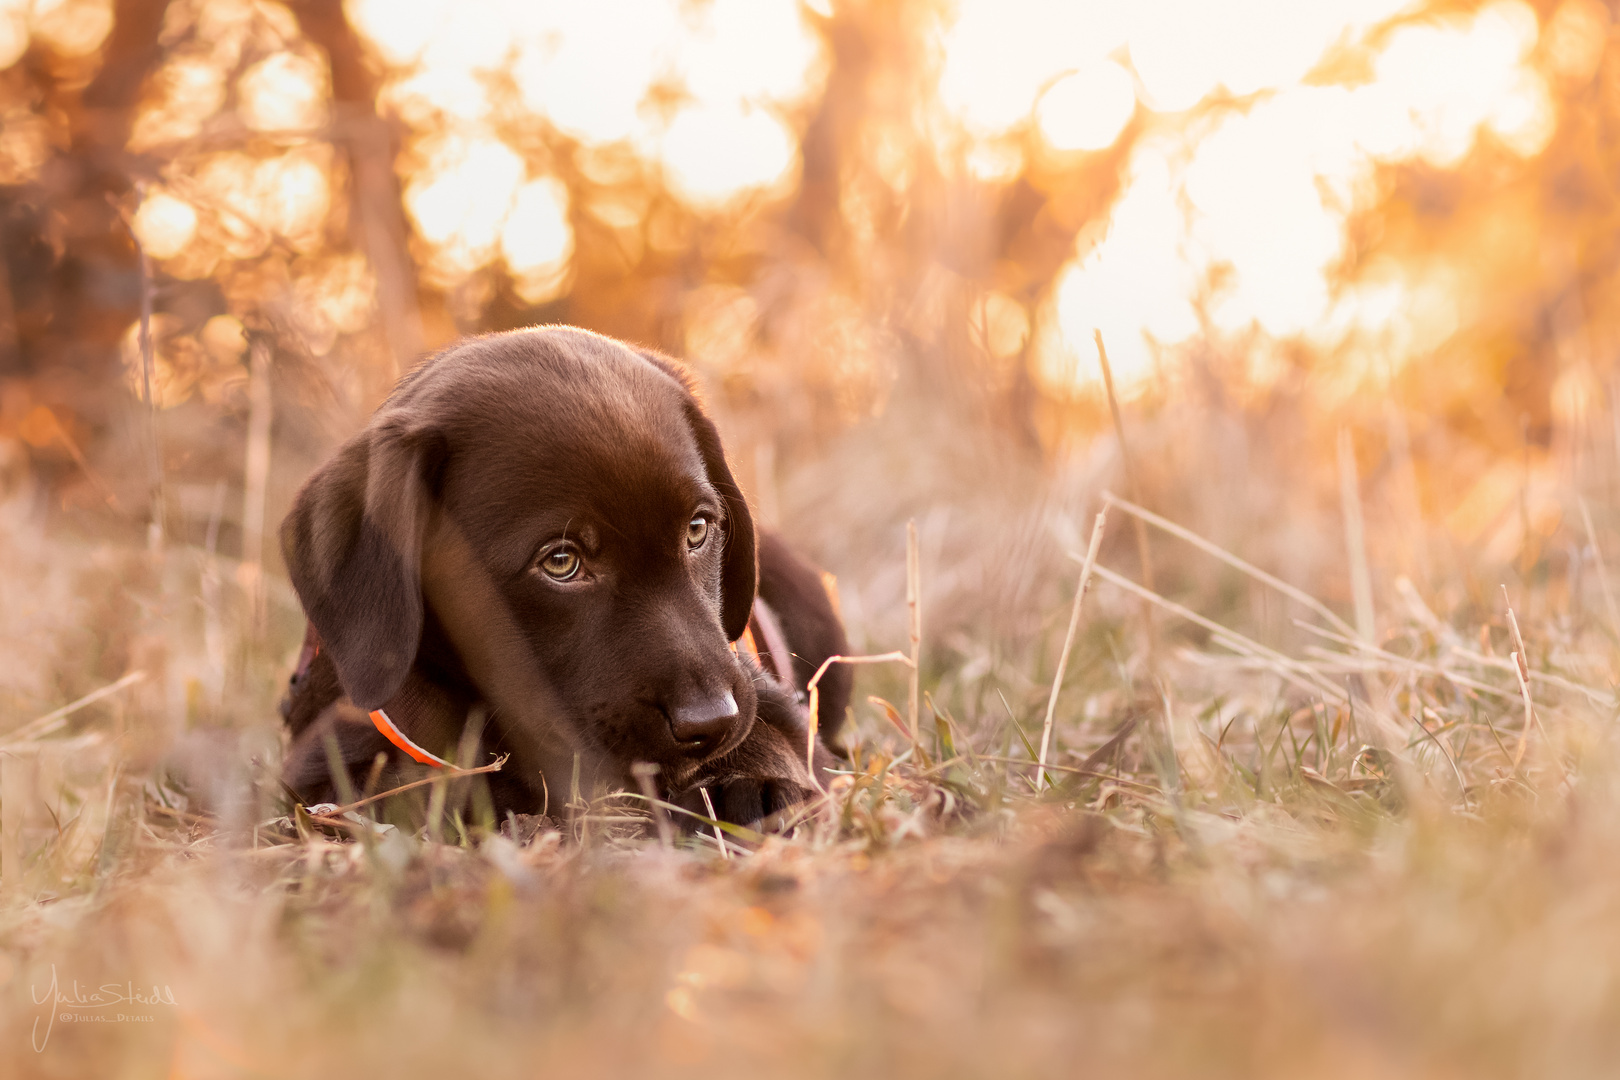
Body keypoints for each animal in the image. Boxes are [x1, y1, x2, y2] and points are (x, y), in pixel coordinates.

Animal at [280, 327, 855, 829]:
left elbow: (778, 741)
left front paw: (754, 786)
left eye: (697, 530)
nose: (710, 721)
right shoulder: (322, 759)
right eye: (560, 562)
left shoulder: (769, 701)